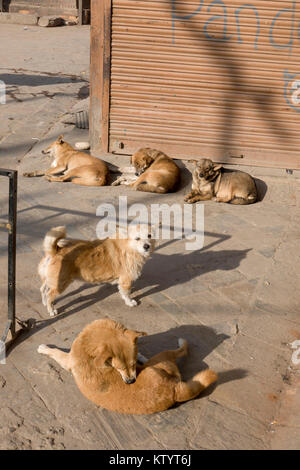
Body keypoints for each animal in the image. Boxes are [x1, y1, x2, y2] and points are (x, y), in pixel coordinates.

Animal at [37, 320, 217, 414]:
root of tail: (174, 390)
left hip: (163, 355)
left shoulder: (67, 360)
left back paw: (181, 342)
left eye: (130, 366)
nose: (131, 381)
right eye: (120, 368)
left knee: (183, 349)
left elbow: (55, 352)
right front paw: (141, 356)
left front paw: (44, 348)